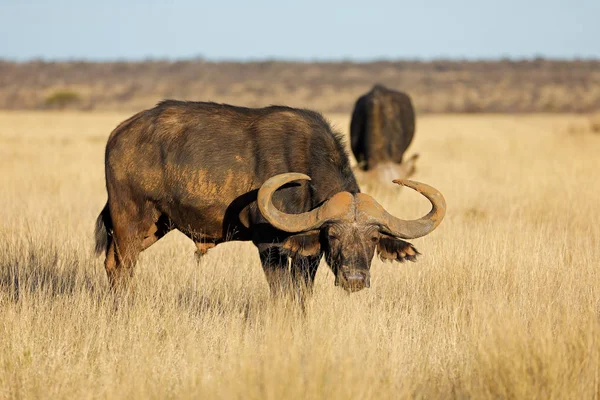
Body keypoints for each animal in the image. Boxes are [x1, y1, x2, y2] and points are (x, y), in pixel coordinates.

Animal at [94, 100, 446, 294]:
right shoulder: (269, 246)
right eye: (333, 234)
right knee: (122, 267)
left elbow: (301, 292)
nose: (355, 279)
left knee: (111, 264)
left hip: (156, 225)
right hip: (129, 217)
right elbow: (282, 292)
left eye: (373, 238)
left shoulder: (307, 252)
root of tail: (119, 134)